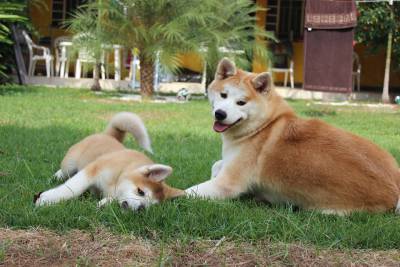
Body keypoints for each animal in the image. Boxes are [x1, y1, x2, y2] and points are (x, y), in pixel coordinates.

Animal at [34, 112, 184, 210]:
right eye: (141, 192)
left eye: (151, 205)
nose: (141, 209)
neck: (123, 171)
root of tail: (110, 136)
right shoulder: (92, 171)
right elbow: (72, 189)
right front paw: (46, 199)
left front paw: (105, 203)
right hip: (70, 163)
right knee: (64, 171)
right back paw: (56, 177)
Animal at [186, 58, 400, 216]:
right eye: (223, 95)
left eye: (241, 102)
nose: (220, 114)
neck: (264, 125)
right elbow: (216, 164)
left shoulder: (226, 185)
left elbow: (186, 192)